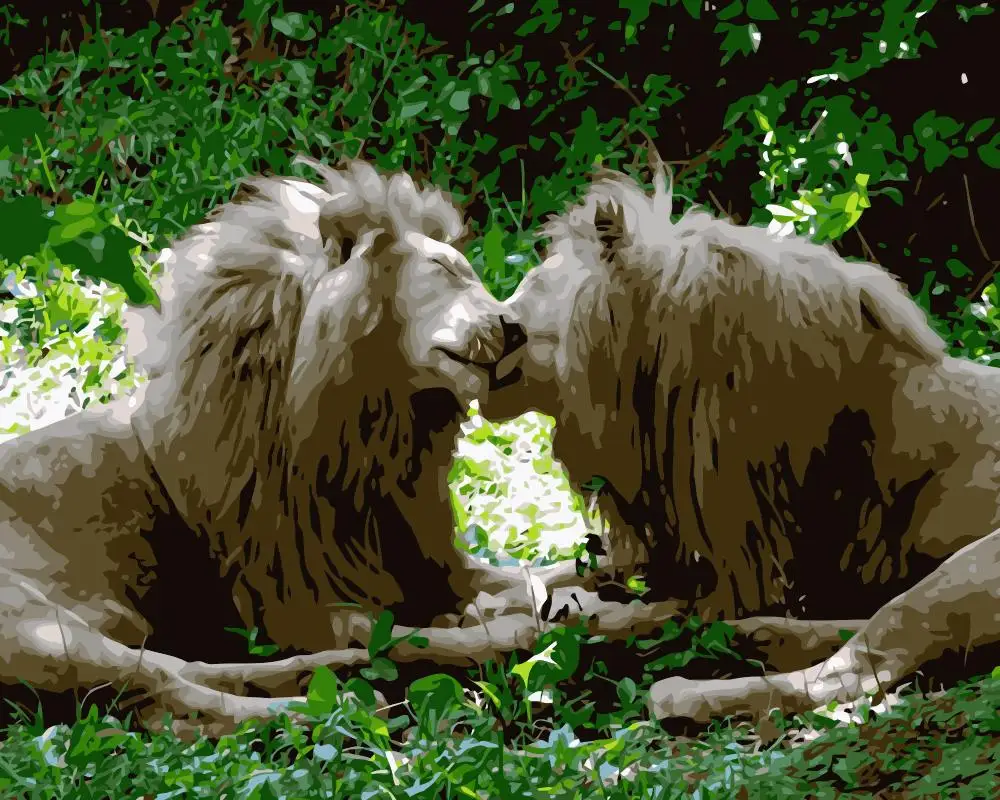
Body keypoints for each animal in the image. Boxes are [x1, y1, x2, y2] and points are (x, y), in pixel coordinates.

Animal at [0, 157, 529, 732]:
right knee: (179, 698)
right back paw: (340, 704)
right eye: (446, 271)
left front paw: (544, 596)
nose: (517, 330)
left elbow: (526, 575)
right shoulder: (306, 606)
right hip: (38, 632)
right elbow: (415, 631)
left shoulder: (423, 560)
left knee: (181, 680)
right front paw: (510, 619)